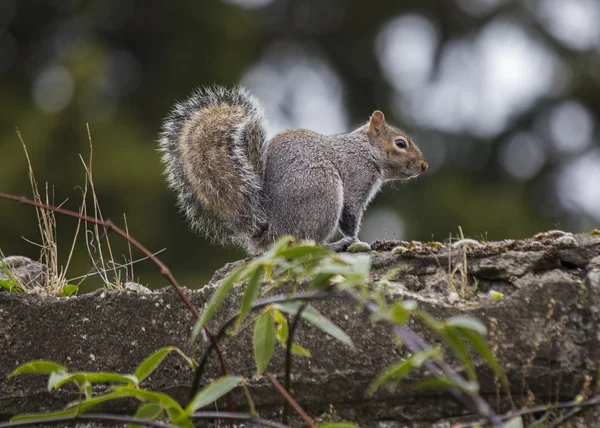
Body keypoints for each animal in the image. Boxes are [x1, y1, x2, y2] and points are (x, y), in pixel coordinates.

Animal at [156, 87, 426, 254]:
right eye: (400, 144)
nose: (424, 166)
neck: (365, 149)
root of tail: (271, 231)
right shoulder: (356, 178)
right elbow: (350, 214)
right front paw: (357, 241)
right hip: (323, 191)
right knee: (304, 242)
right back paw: (332, 246)